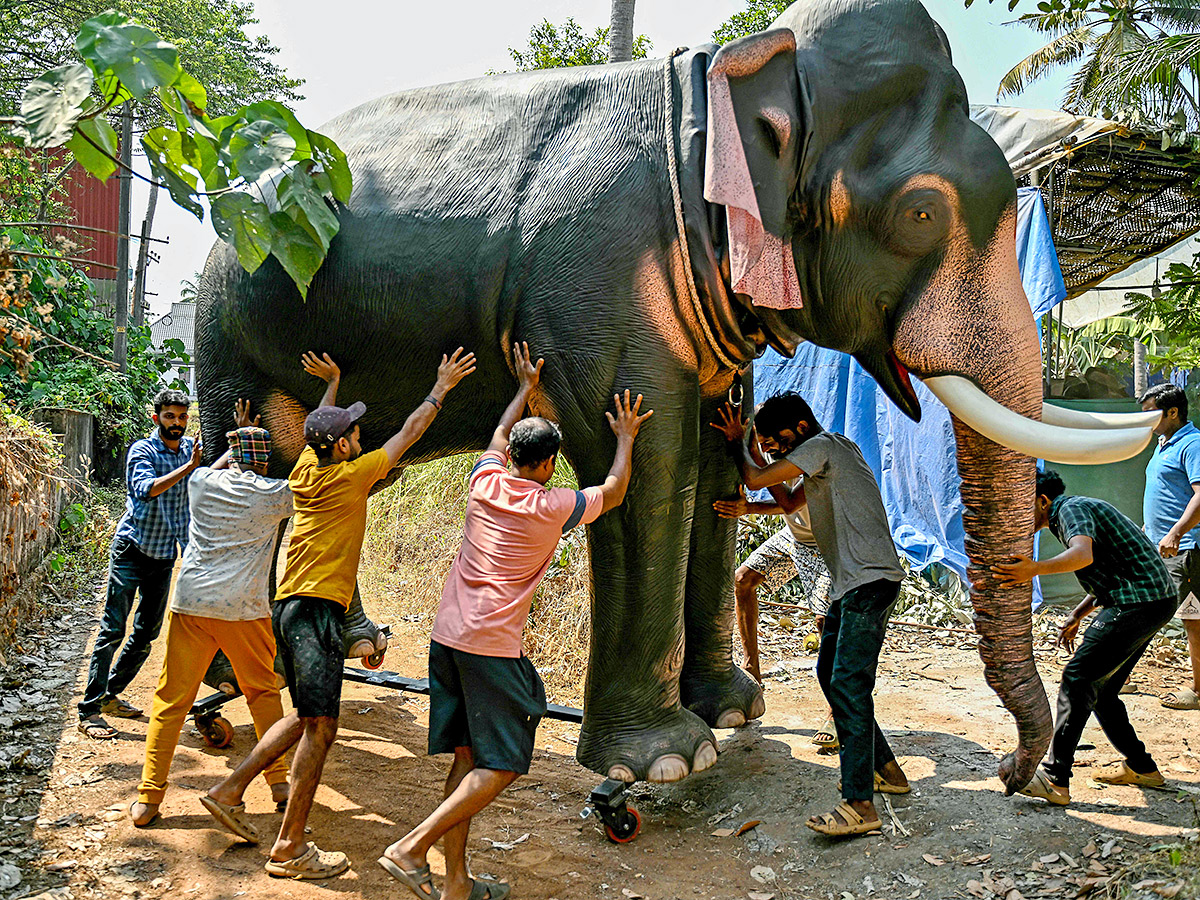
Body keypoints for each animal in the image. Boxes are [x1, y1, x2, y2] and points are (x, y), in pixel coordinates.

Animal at [196, 0, 1152, 787]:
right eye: (921, 212)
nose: (1016, 774)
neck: (728, 79)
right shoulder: (599, 280)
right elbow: (648, 466)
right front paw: (662, 762)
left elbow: (714, 465)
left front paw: (733, 709)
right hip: (222, 329)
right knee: (254, 460)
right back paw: (238, 673)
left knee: (338, 473)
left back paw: (351, 644)